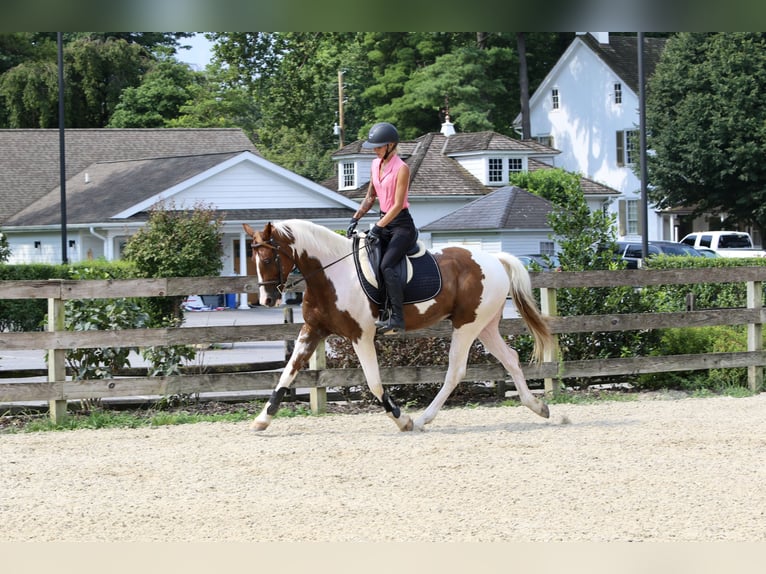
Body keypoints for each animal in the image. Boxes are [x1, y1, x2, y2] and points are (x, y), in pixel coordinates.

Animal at [242, 219, 554, 432]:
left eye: (268, 258)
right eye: (253, 258)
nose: (267, 299)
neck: (332, 274)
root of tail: (495, 260)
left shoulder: (361, 336)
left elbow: (374, 382)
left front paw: (402, 419)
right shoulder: (312, 330)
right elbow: (287, 374)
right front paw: (261, 419)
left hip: (466, 326)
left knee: (456, 371)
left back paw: (424, 418)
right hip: (484, 325)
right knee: (510, 358)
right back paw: (539, 407)